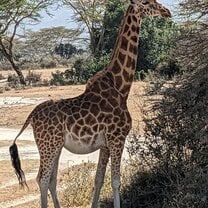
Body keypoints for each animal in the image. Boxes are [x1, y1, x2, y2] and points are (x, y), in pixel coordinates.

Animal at [8, 0, 171, 207]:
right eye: (146, 2)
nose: (166, 12)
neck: (121, 86)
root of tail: (32, 116)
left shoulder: (105, 144)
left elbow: (99, 179)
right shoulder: (117, 138)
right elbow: (116, 181)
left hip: (55, 146)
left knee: (51, 179)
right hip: (48, 145)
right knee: (42, 179)